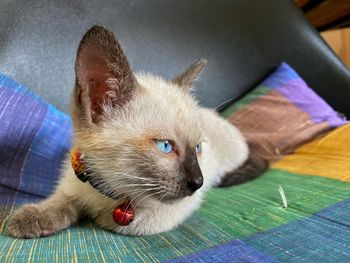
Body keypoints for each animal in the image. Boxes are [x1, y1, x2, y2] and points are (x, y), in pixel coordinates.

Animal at [6, 25, 266, 238]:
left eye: (198, 148)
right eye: (165, 146)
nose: (198, 182)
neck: (108, 191)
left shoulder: (174, 208)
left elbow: (120, 223)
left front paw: (97, 218)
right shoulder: (72, 184)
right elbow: (61, 203)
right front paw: (29, 219)